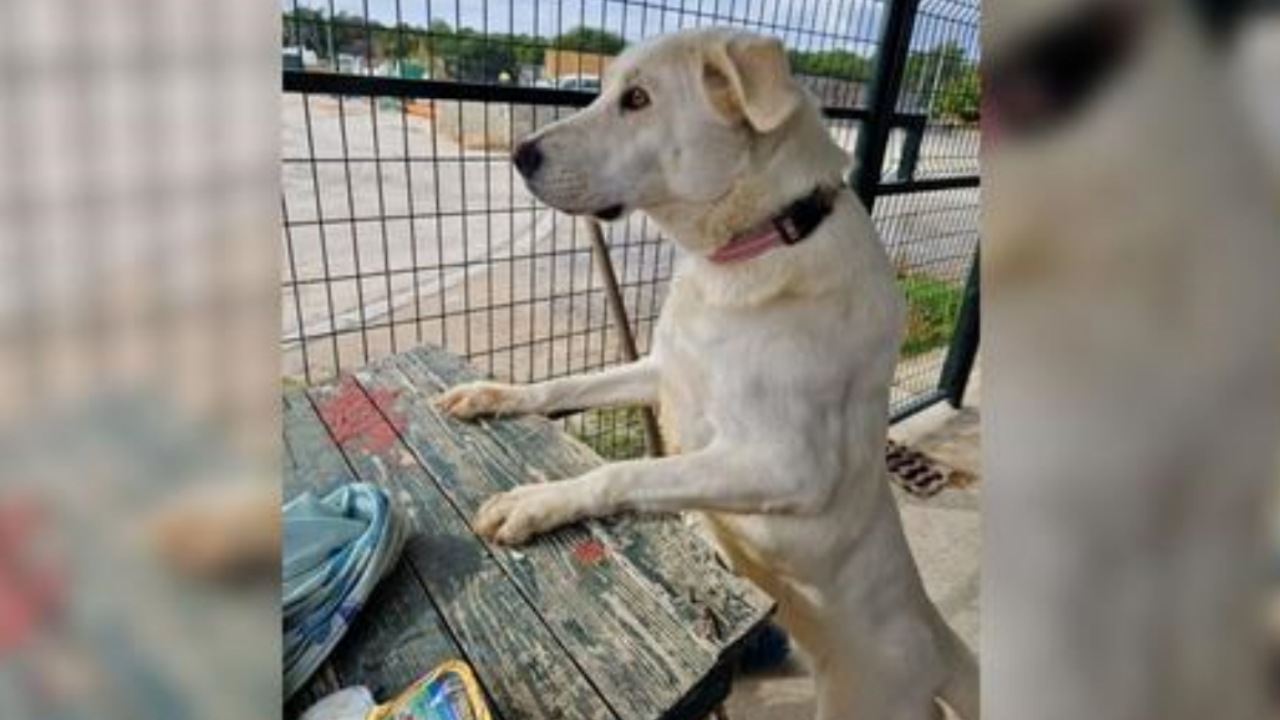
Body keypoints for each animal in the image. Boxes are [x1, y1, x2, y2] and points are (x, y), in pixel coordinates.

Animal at [435, 29, 972, 717]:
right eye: (605, 90)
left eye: (637, 100)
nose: (518, 153)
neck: (757, 244)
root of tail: (938, 642)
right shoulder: (665, 371)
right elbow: (567, 385)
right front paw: (493, 394)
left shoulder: (789, 464)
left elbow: (626, 470)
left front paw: (538, 501)